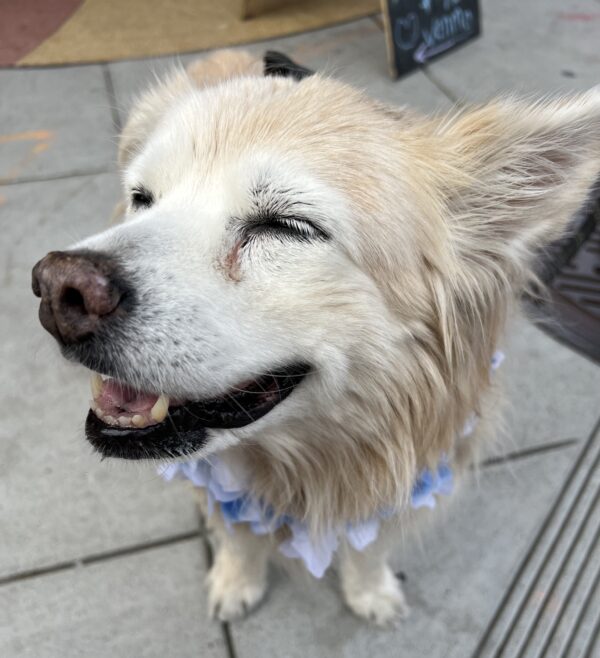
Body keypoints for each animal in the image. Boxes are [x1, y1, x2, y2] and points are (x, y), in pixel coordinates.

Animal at [31, 48, 600, 624]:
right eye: (143, 198)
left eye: (287, 227)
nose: (57, 290)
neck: (312, 469)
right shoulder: (228, 489)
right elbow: (238, 537)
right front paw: (236, 582)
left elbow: (368, 549)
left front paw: (370, 592)